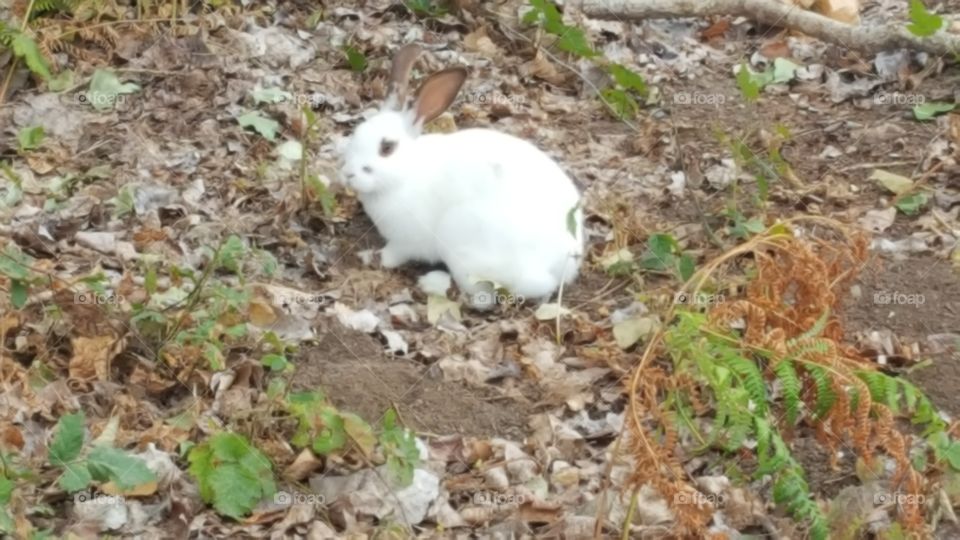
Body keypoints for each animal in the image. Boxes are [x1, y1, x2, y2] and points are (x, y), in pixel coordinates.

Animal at [340, 43, 584, 309]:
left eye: (387, 148)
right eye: (355, 133)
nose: (348, 174)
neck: (405, 174)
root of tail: (561, 267)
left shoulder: (405, 241)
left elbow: (393, 255)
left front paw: (372, 257)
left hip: (464, 248)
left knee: (481, 299)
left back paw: (432, 283)